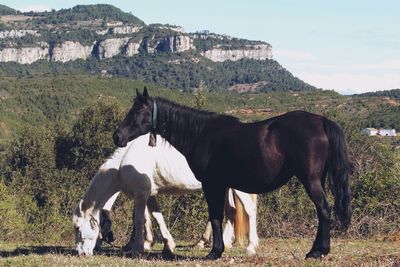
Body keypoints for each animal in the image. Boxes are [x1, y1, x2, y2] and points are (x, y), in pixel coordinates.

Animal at [73, 134, 258, 258]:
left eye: (77, 228)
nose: (80, 252)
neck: (123, 163)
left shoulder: (140, 195)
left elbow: (140, 220)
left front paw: (137, 248)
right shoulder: (149, 195)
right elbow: (156, 217)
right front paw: (167, 245)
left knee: (249, 211)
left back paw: (251, 247)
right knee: (231, 211)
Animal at [113, 89, 354, 260]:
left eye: (137, 112)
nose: (117, 136)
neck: (201, 133)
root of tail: (321, 121)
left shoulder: (212, 185)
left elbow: (215, 216)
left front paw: (214, 251)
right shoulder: (223, 185)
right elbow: (223, 215)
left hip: (310, 180)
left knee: (323, 209)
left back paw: (317, 251)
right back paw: (317, 249)